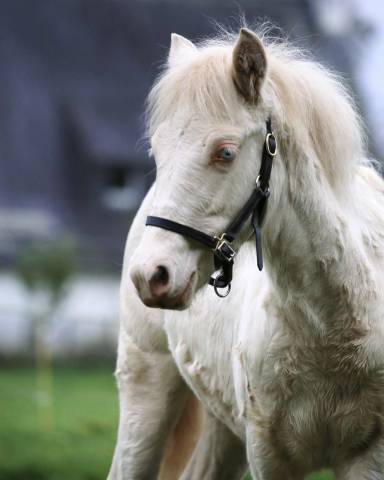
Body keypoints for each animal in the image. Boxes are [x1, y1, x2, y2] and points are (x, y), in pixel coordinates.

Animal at [106, 28, 384, 478]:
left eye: (226, 152)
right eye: (157, 153)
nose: (151, 275)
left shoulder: (368, 455)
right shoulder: (268, 455)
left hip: (223, 429)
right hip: (146, 392)